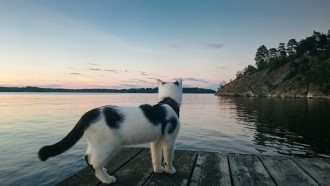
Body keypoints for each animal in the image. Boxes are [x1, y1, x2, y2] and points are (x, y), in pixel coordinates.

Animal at [39, 78, 183, 185]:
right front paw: (170, 170)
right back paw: (107, 179)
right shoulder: (169, 140)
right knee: (94, 163)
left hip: (97, 144)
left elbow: (156, 157)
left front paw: (158, 170)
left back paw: (104, 171)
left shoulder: (156, 141)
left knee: (88, 157)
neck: (168, 102)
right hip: (108, 146)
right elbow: (168, 157)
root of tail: (88, 115)